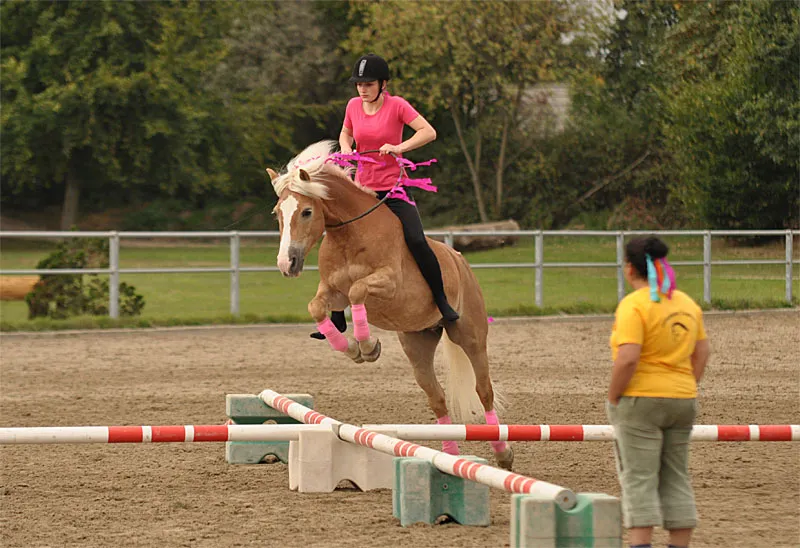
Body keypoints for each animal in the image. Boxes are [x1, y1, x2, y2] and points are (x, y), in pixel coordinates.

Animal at [268, 141, 512, 470]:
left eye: (307, 211)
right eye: (277, 213)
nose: (287, 263)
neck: (351, 234)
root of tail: (460, 260)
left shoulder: (388, 284)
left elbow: (358, 290)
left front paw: (367, 346)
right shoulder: (332, 292)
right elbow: (317, 308)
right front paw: (352, 348)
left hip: (470, 336)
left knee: (484, 391)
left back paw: (503, 453)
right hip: (417, 343)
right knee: (437, 398)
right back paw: (447, 457)